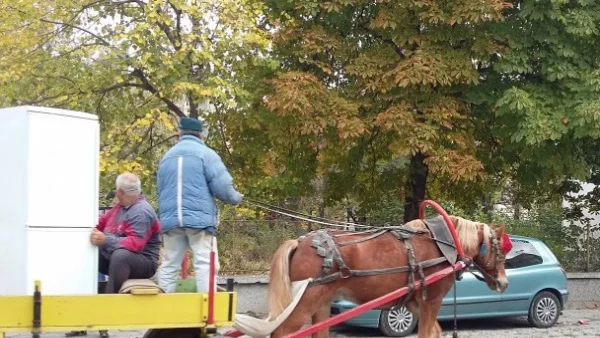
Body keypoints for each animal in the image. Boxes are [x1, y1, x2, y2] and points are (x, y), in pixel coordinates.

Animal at [264, 215, 508, 336]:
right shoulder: (432, 301)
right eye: (500, 251)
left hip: (322, 305)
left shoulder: (415, 303)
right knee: (282, 332)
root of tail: (300, 243)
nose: (504, 283)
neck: (442, 244)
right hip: (305, 302)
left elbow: (435, 332)